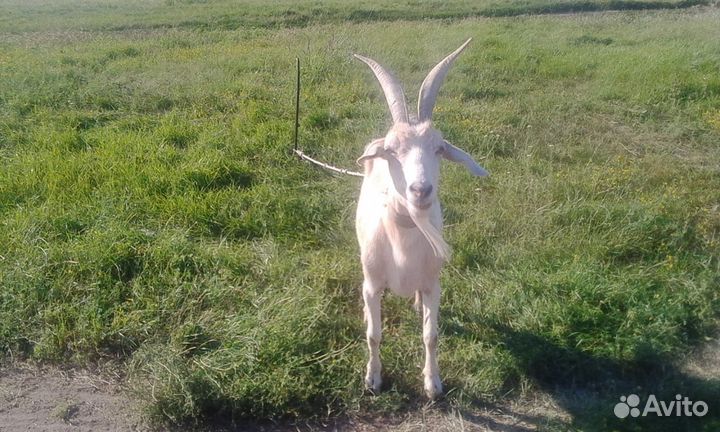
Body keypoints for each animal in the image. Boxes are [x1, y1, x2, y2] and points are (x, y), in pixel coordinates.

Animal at [354, 39, 489, 400]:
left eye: (439, 148)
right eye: (390, 150)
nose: (420, 189)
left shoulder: (433, 285)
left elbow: (431, 335)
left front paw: (433, 383)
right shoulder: (372, 284)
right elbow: (373, 334)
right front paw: (373, 379)